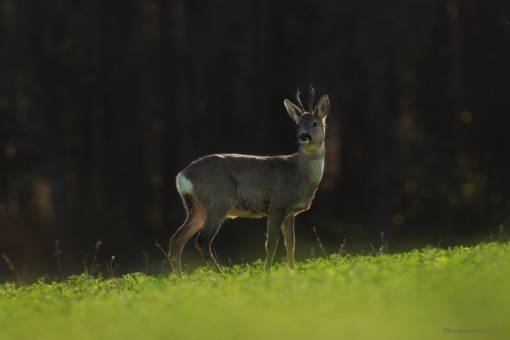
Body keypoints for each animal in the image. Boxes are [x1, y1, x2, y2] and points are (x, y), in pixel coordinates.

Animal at [169, 86, 330, 274]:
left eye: (315, 123)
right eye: (298, 125)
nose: (304, 136)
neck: (299, 173)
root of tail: (181, 176)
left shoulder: (290, 213)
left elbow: (291, 244)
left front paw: (292, 270)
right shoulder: (277, 205)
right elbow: (271, 244)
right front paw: (267, 272)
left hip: (196, 207)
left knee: (177, 240)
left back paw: (180, 277)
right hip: (219, 200)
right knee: (202, 241)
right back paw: (219, 275)